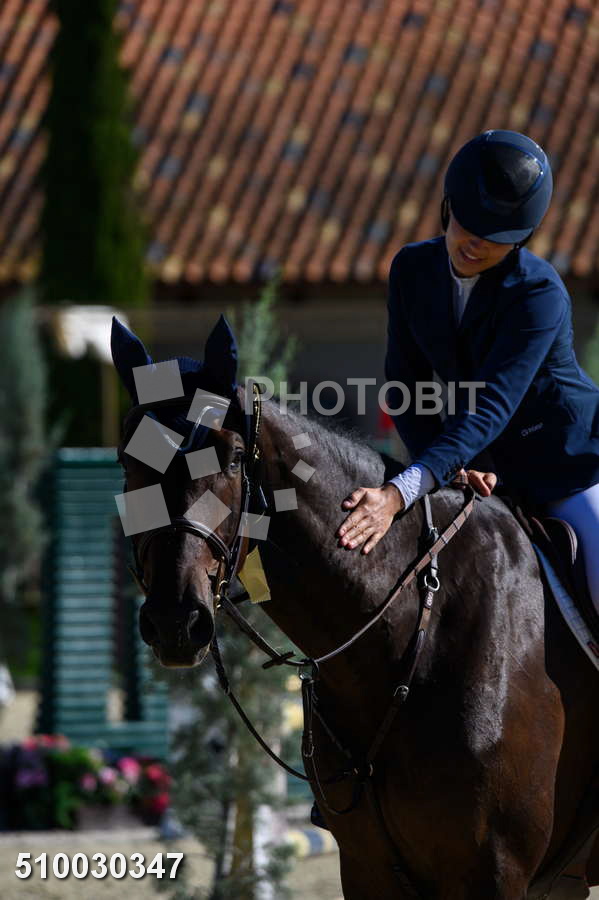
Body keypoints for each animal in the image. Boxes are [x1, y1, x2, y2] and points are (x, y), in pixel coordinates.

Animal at [111, 314, 599, 899]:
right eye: (127, 461)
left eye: (232, 458)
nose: (175, 622)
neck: (414, 633)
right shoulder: (368, 870)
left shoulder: (497, 874)